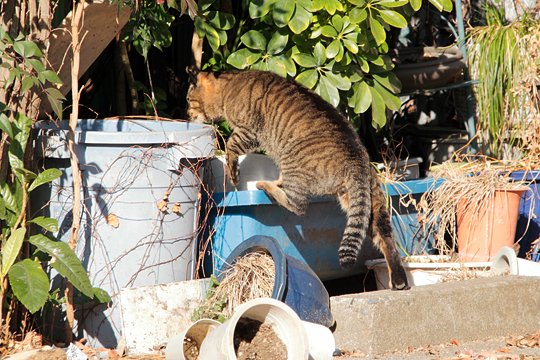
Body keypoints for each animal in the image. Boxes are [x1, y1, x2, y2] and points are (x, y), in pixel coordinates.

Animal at [188, 69, 408, 290]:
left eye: (189, 100)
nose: (187, 115)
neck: (229, 86)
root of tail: (357, 156)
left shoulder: (247, 131)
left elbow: (230, 147)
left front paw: (234, 173)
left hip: (292, 161)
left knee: (298, 206)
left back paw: (266, 186)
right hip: (368, 203)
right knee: (385, 237)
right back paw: (399, 280)